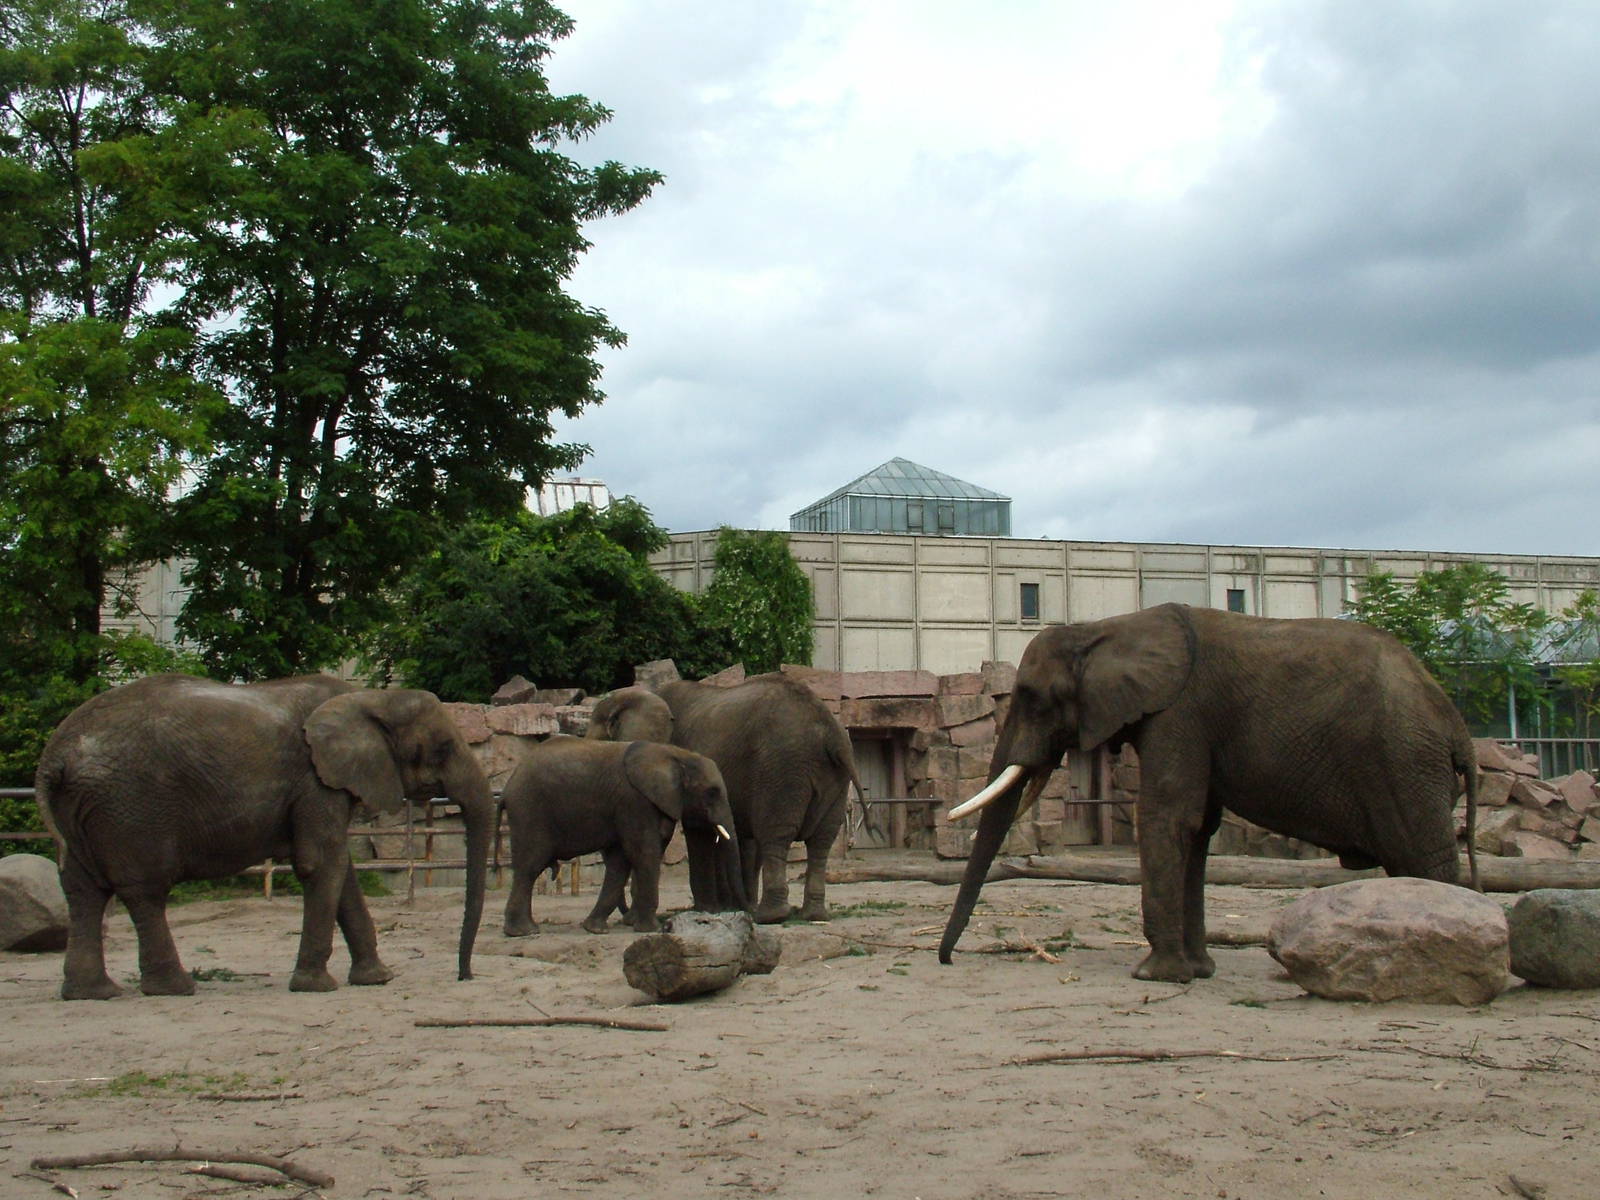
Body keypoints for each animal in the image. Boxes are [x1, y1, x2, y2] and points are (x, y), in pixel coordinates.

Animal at [34, 673, 493, 999]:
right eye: (443, 747)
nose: (465, 976)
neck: (368, 698)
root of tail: (55, 756)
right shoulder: (314, 780)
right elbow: (320, 862)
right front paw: (317, 987)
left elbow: (340, 868)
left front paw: (377, 980)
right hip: (131, 806)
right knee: (144, 890)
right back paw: (175, 988)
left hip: (84, 808)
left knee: (83, 890)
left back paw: (94, 993)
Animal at [499, 736, 745, 936]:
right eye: (712, 793)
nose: (743, 911)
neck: (675, 754)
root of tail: (508, 785)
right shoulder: (634, 801)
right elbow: (644, 853)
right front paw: (651, 929)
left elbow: (620, 862)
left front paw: (596, 929)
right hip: (529, 811)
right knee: (530, 866)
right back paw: (523, 932)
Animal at [588, 674, 862, 923]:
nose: (625, 915)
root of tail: (829, 728)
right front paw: (727, 907)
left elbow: (696, 831)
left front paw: (706, 909)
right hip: (830, 776)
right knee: (821, 840)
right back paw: (811, 914)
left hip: (782, 770)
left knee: (775, 835)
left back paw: (769, 916)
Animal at [939, 603, 1480, 983]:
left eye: (1031, 696)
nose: (946, 961)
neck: (1106, 628)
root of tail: (1459, 729)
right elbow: (1198, 829)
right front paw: (1198, 972)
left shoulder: (1180, 712)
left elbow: (1166, 816)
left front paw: (1155, 977)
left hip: (1405, 763)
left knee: (1423, 860)